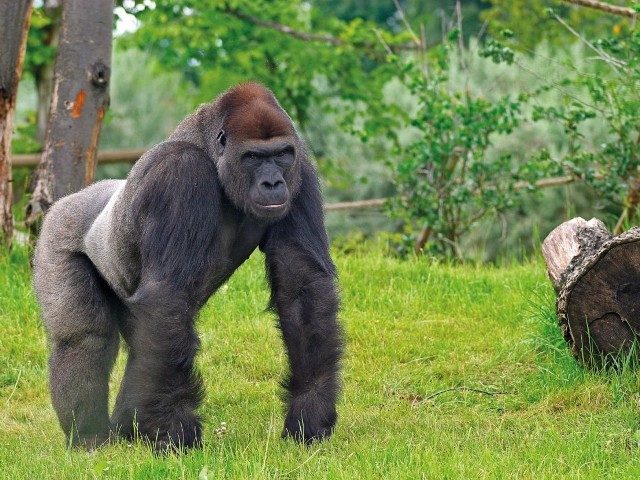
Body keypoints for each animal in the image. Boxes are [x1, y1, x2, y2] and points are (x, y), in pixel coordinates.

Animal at [33, 81, 344, 450]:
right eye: (253, 157)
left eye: (281, 154)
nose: (272, 183)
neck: (211, 154)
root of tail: (67, 200)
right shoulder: (180, 173)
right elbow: (168, 293)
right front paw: (173, 428)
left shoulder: (300, 172)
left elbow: (302, 285)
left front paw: (310, 408)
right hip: (56, 234)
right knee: (85, 340)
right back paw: (90, 437)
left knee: (146, 343)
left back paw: (127, 427)